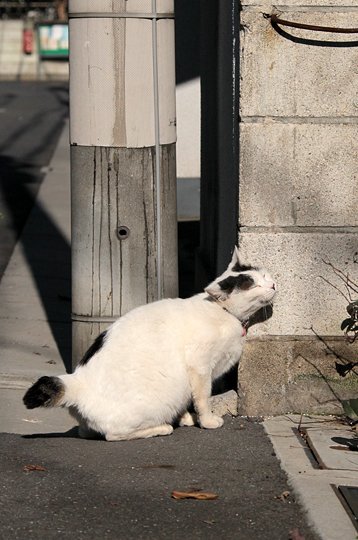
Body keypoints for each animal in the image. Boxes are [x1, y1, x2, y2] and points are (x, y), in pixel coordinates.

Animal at [23, 247, 276, 440]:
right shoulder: (200, 368)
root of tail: (76, 382)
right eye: (253, 285)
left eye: (265, 276)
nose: (273, 285)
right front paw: (207, 421)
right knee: (113, 435)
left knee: (85, 432)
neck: (224, 313)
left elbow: (189, 399)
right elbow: (203, 398)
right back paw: (162, 428)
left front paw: (186, 417)